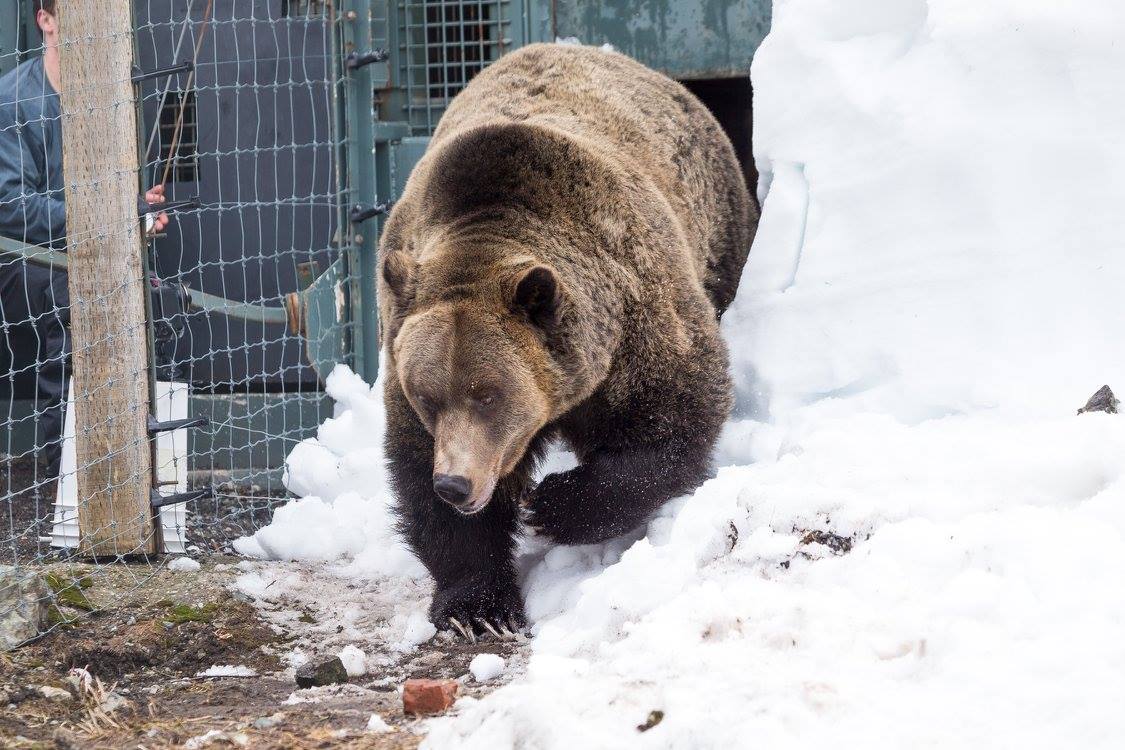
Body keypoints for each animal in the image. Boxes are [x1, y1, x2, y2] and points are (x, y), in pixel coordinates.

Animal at [377, 43, 757, 636]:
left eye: (489, 395)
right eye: (429, 396)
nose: (456, 484)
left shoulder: (632, 312)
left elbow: (672, 413)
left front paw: (553, 505)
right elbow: (420, 474)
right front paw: (477, 607)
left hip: (718, 225)